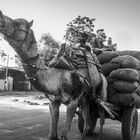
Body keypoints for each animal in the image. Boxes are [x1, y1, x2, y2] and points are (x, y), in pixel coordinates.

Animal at [0, 10, 107, 140]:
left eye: (17, 23)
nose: (0, 15)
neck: (55, 77)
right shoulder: (53, 102)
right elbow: (52, 134)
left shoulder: (72, 103)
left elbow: (64, 135)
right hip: (85, 99)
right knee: (87, 122)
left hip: (102, 89)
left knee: (101, 118)